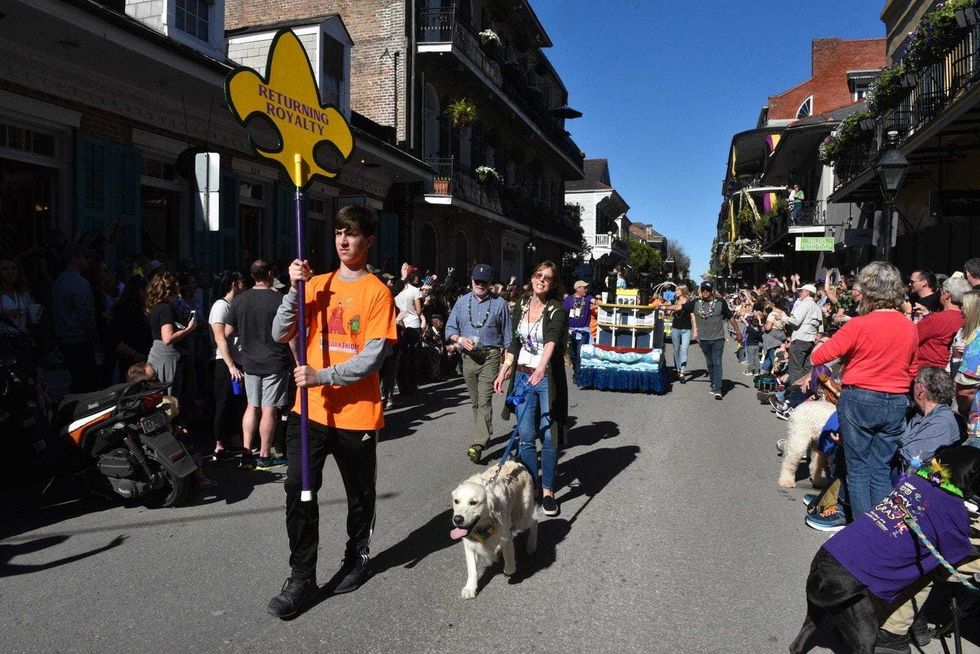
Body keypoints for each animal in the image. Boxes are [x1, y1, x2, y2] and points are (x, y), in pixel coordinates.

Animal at [450, 460, 538, 599]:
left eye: (473, 502)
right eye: (456, 501)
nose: (457, 519)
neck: (483, 526)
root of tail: (516, 463)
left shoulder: (505, 536)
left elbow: (510, 564)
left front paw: (508, 569)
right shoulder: (469, 544)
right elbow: (472, 568)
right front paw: (470, 588)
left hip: (522, 516)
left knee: (534, 520)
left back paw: (531, 545)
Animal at [789, 446, 980, 654]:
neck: (939, 482)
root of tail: (820, 573)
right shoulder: (956, 545)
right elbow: (975, 543)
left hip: (817, 612)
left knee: (796, 645)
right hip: (862, 626)